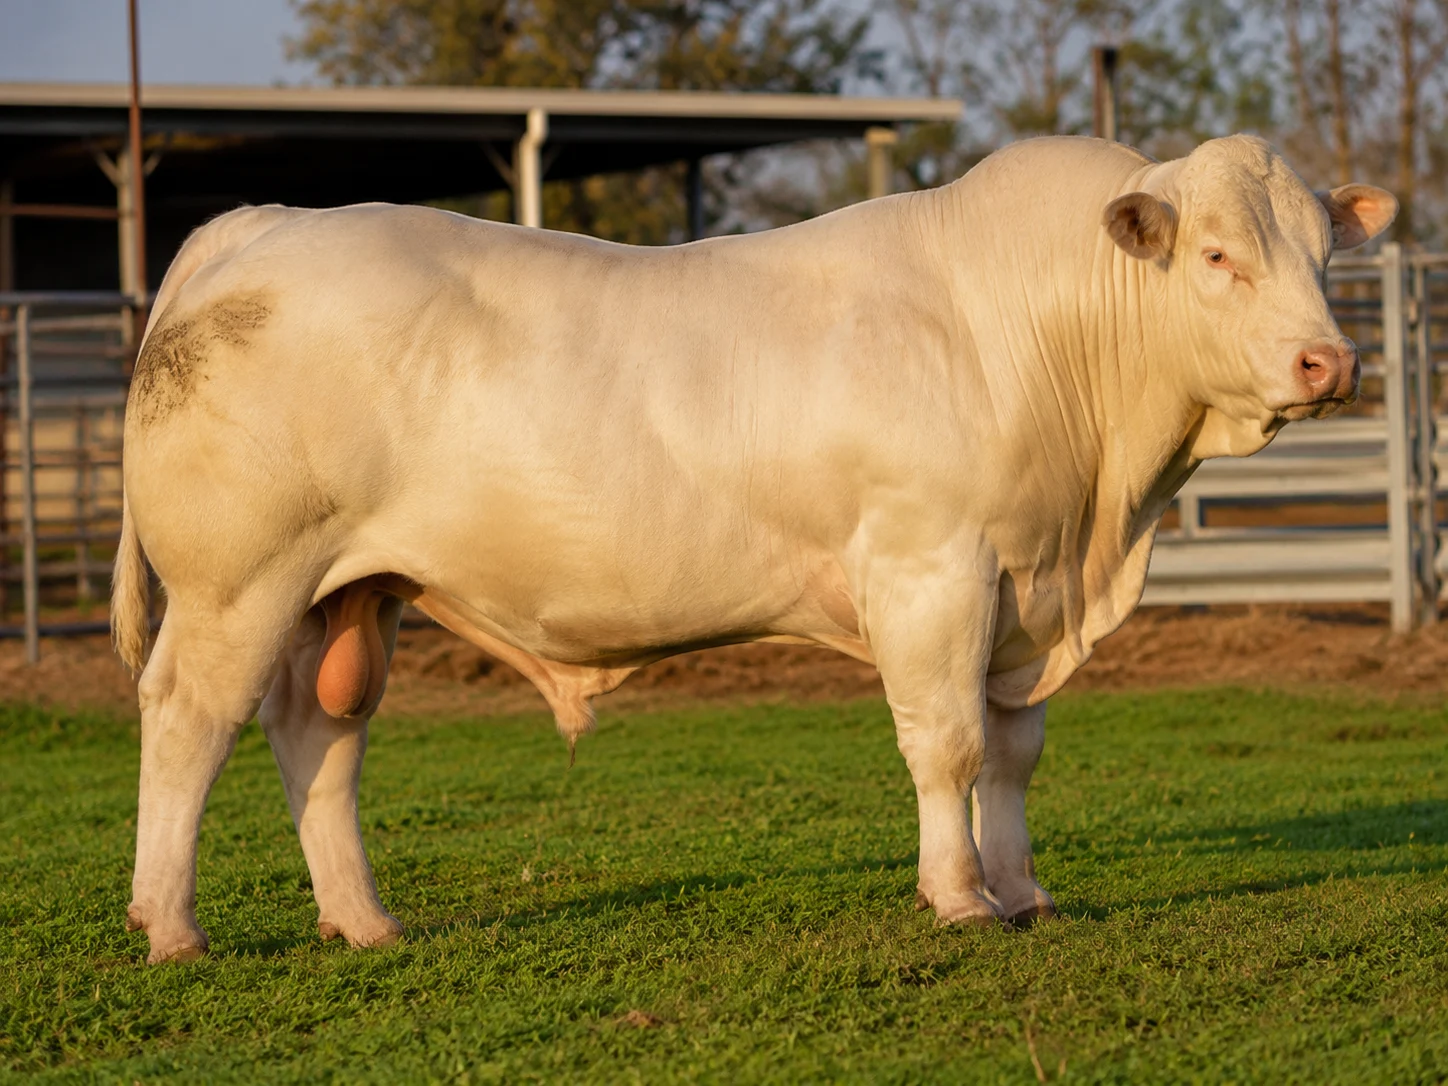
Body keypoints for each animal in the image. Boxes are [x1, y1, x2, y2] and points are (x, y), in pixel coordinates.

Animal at [110, 134, 1395, 963]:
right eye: (1216, 255)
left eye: (1323, 254)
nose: (1327, 362)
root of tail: (261, 228)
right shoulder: (931, 570)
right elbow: (947, 747)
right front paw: (959, 898)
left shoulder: (1023, 593)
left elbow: (1013, 754)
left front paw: (1023, 888)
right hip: (237, 583)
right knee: (187, 721)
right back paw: (171, 926)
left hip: (349, 591)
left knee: (315, 737)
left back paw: (365, 921)